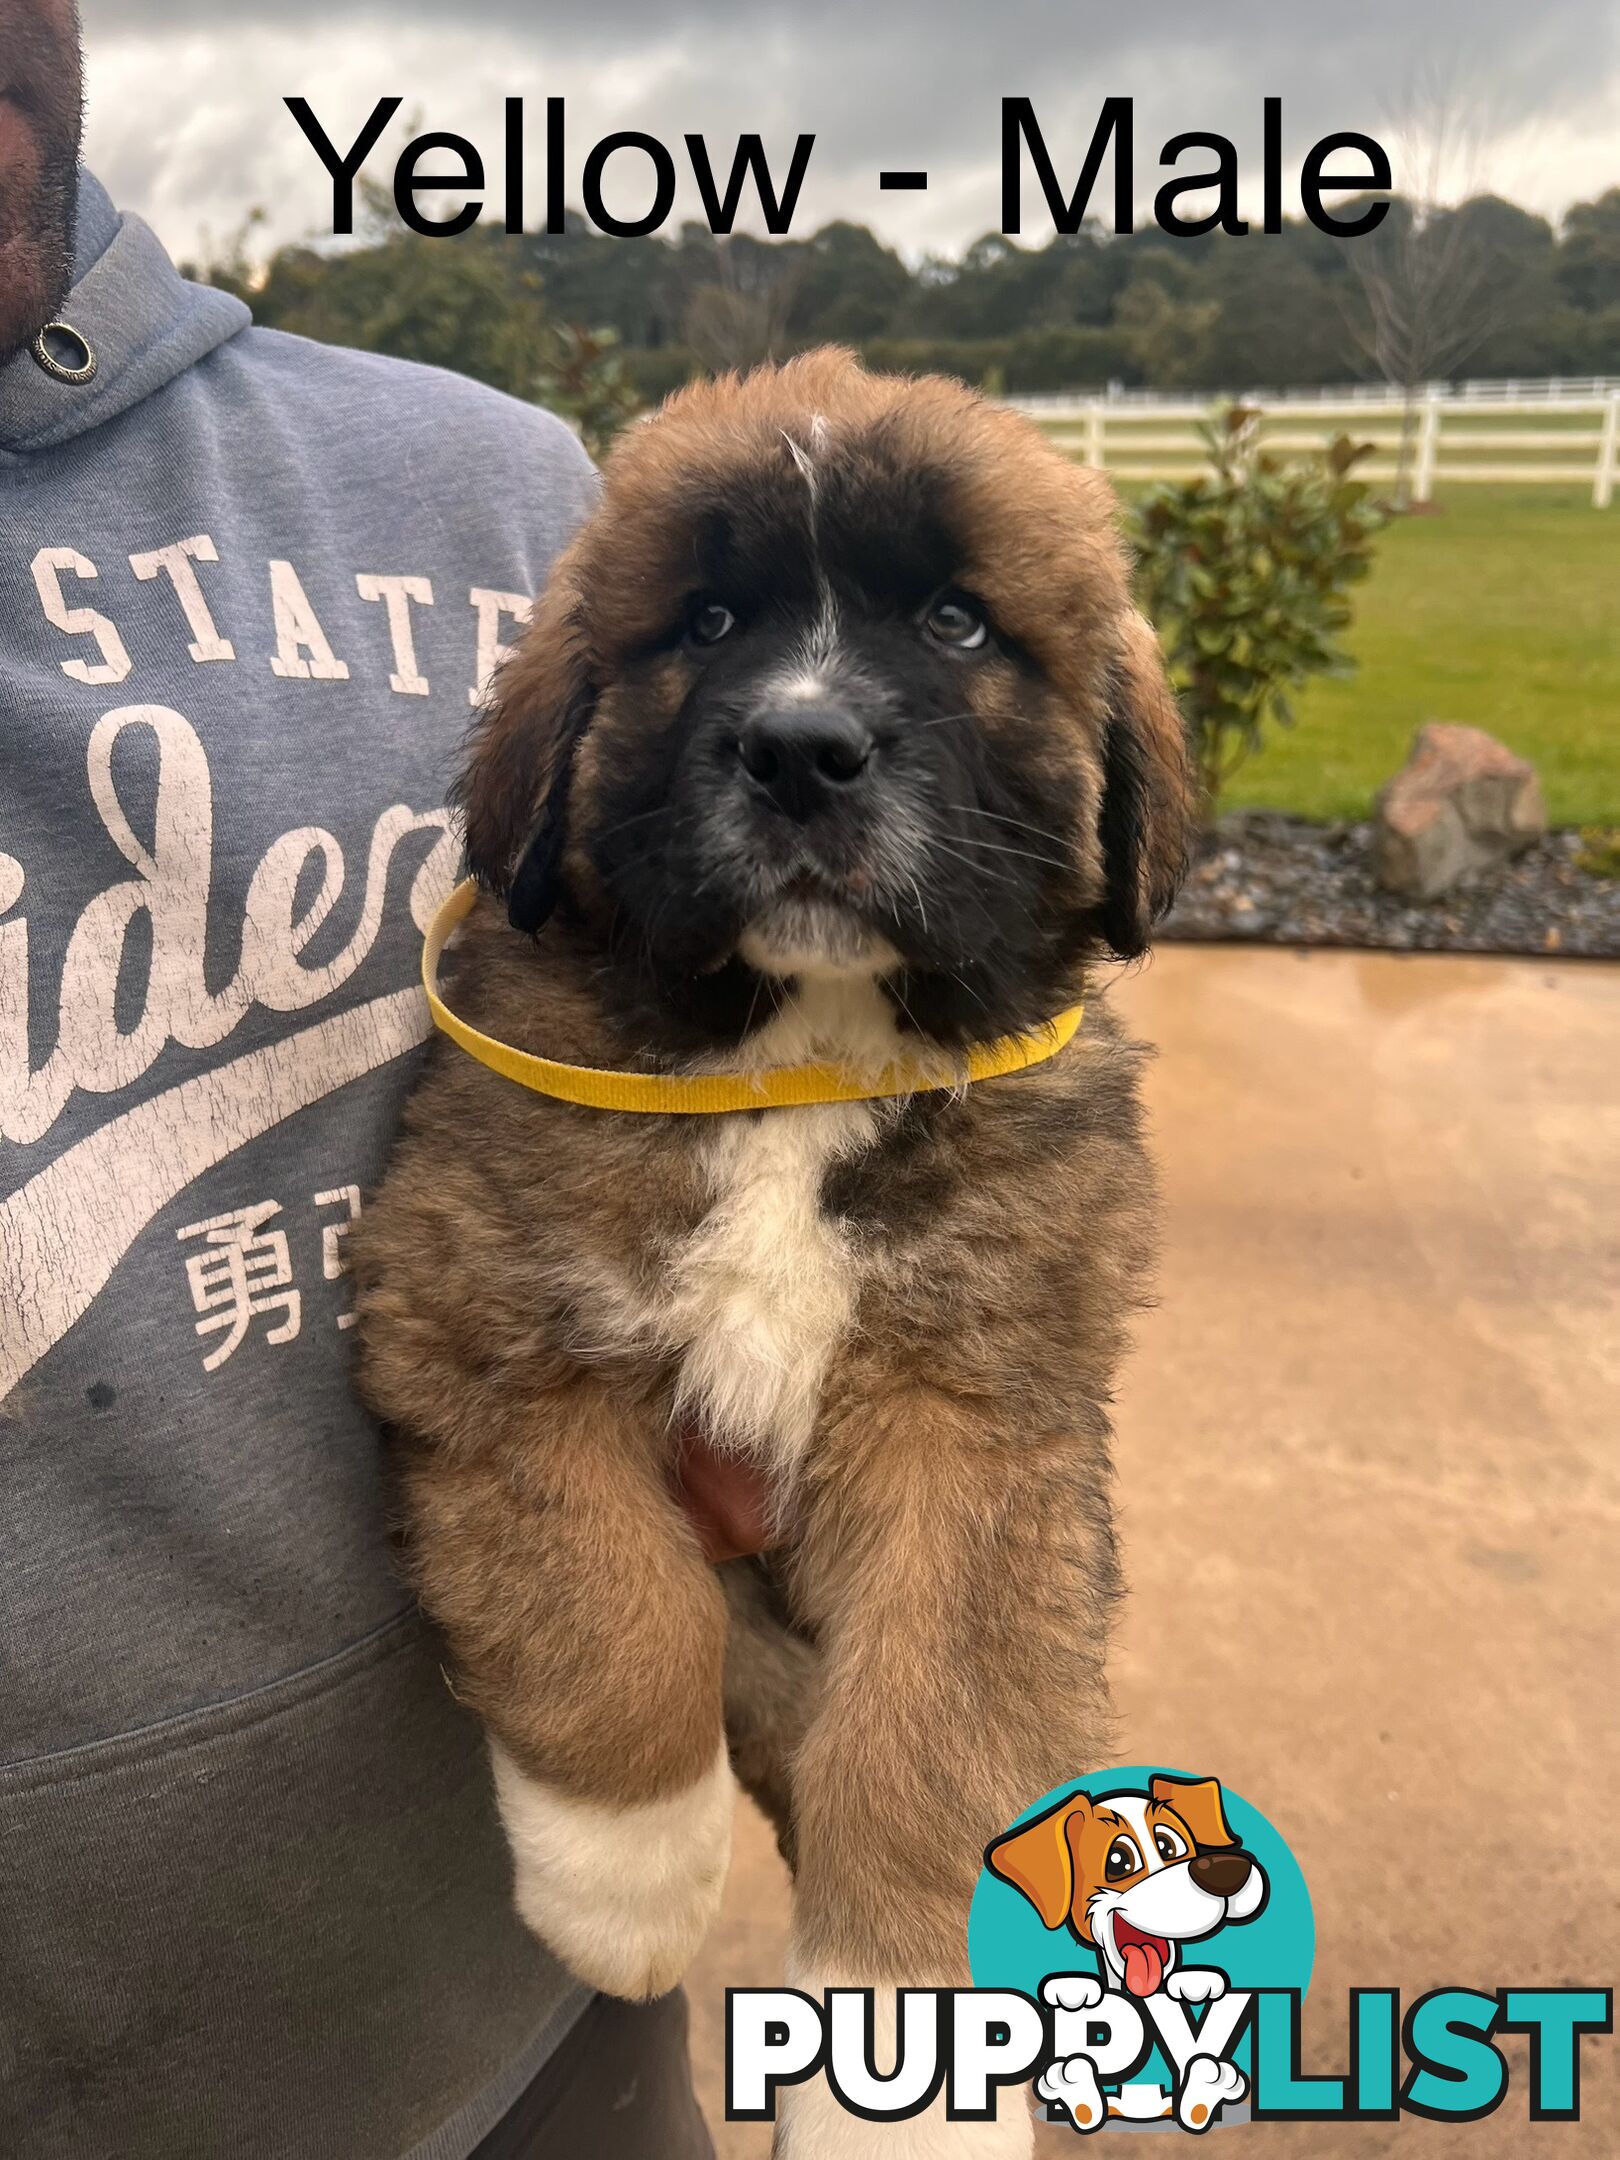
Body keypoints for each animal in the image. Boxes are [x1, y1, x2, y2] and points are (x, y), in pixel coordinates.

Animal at [352, 345, 1192, 2151]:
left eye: (956, 621)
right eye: (710, 620)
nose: (805, 750)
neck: (802, 1053)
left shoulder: (976, 1422)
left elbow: (929, 1732)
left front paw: (904, 2053)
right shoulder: (483, 1322)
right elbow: (611, 1614)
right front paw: (627, 1877)